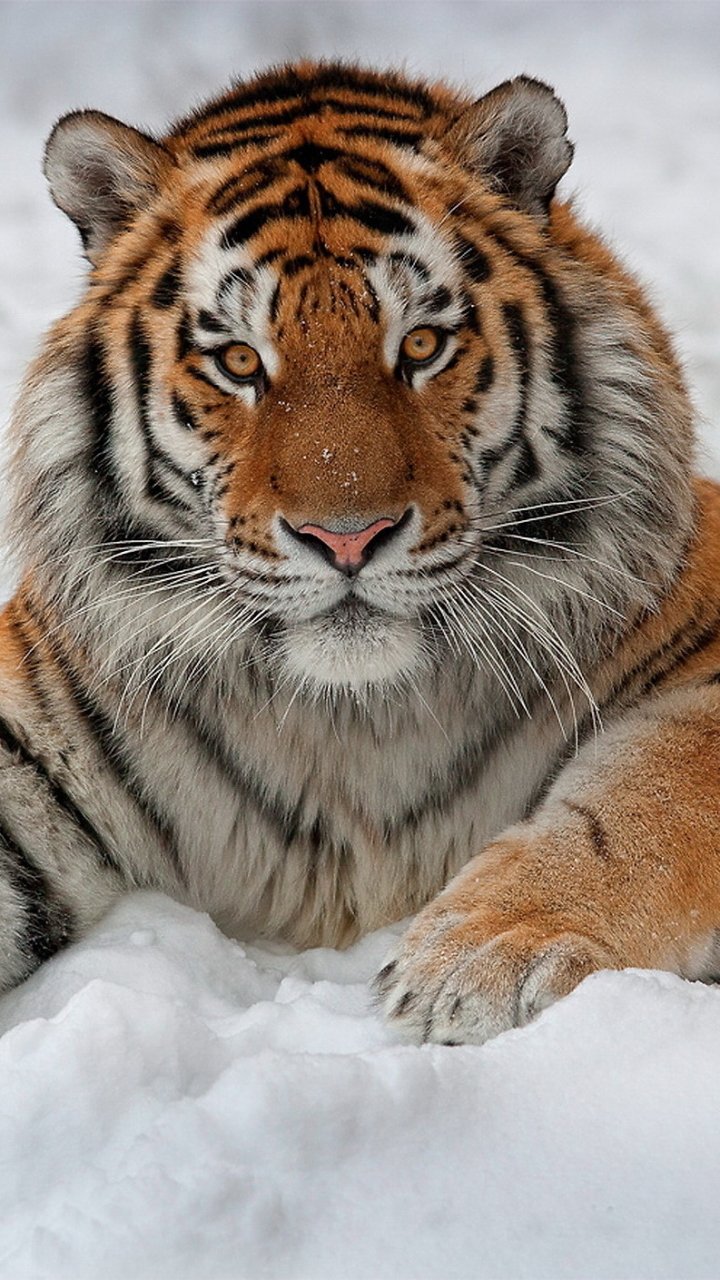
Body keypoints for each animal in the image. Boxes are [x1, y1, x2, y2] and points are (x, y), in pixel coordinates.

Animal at [1, 59, 718, 1046]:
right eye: (238, 361)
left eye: (421, 344)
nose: (347, 537)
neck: (352, 723)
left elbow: (644, 803)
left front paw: (489, 953)